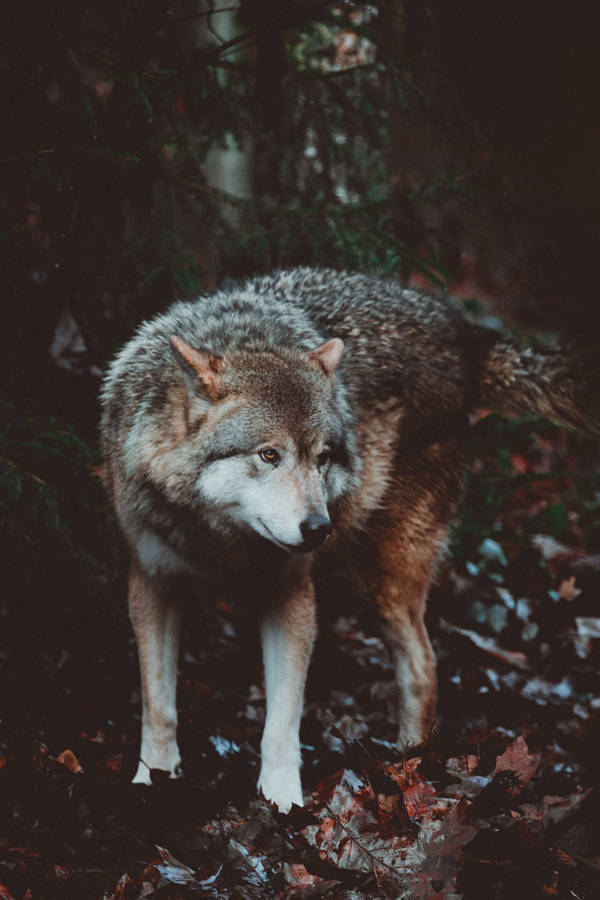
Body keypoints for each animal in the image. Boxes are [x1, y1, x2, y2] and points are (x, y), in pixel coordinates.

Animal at [100, 267, 598, 813]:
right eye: (269, 455)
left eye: (322, 458)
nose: (319, 528)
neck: (220, 540)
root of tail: (461, 329)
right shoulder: (152, 583)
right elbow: (158, 704)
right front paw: (154, 781)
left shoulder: (292, 594)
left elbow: (282, 722)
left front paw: (283, 804)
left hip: (380, 580)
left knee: (423, 667)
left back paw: (408, 766)